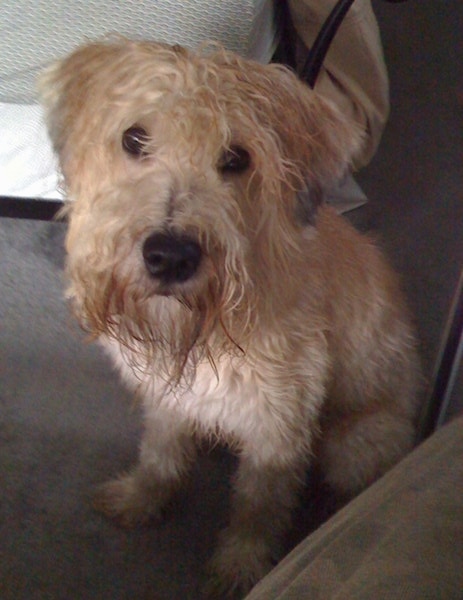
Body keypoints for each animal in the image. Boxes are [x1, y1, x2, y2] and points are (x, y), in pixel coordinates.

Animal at [40, 39, 424, 596]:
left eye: (237, 158)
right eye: (134, 138)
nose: (170, 257)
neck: (207, 332)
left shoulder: (277, 428)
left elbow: (257, 506)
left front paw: (241, 566)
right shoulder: (169, 398)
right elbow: (159, 455)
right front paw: (141, 498)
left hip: (353, 443)